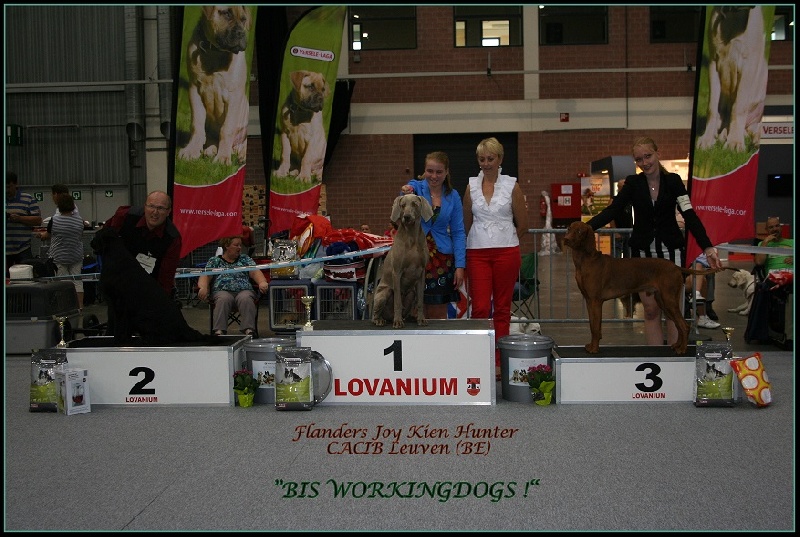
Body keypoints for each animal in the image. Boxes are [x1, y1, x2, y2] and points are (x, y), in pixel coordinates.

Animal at [178, 5, 252, 165]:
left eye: (244, 19)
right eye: (226, 13)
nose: (241, 34)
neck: (216, 51)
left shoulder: (234, 95)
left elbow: (227, 128)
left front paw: (223, 158)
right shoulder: (194, 89)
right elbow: (197, 125)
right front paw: (191, 151)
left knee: (242, 144)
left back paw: (241, 154)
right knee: (211, 138)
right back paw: (210, 150)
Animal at [371, 195, 433, 328]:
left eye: (414, 204)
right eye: (402, 205)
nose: (407, 217)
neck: (411, 236)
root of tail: (388, 317)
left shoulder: (421, 274)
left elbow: (420, 301)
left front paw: (421, 319)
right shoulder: (397, 272)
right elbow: (398, 302)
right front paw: (398, 321)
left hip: (411, 292)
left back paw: (410, 318)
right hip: (383, 293)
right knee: (375, 314)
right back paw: (380, 320)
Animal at [696, 6, 768, 152]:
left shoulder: (748, 65)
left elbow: (739, 106)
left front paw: (734, 142)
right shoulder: (713, 63)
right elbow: (712, 108)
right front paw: (707, 139)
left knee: (756, 128)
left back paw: (755, 140)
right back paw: (724, 134)